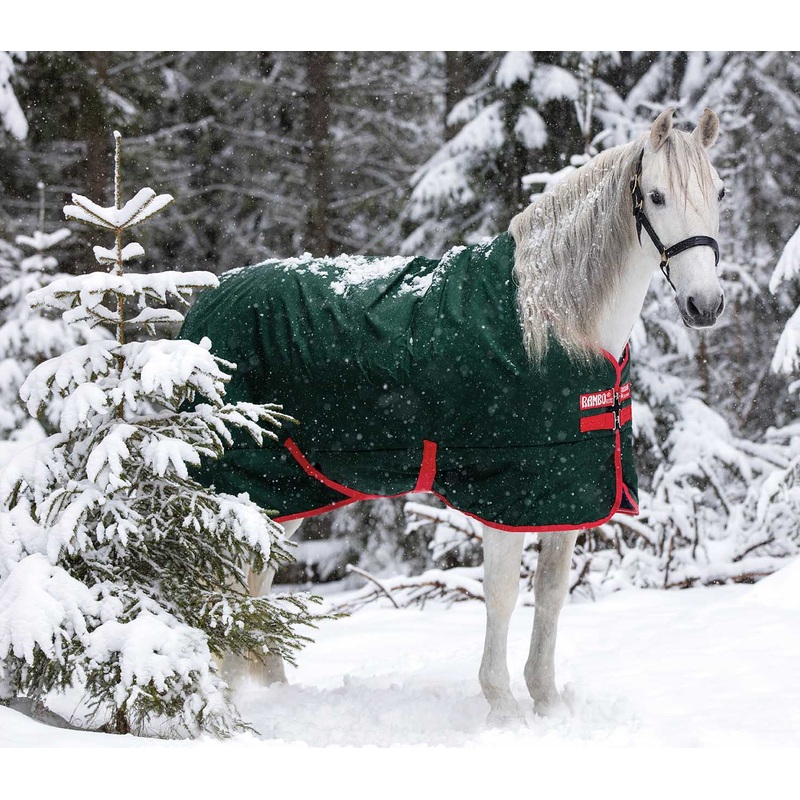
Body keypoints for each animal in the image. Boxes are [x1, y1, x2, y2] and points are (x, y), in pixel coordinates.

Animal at [180, 107, 726, 724]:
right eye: (656, 196)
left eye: (720, 192)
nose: (705, 304)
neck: (552, 326)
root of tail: (208, 300)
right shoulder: (507, 494)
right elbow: (504, 595)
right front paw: (504, 707)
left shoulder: (563, 492)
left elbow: (552, 595)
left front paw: (546, 702)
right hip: (240, 484)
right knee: (224, 584)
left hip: (287, 490)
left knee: (255, 582)